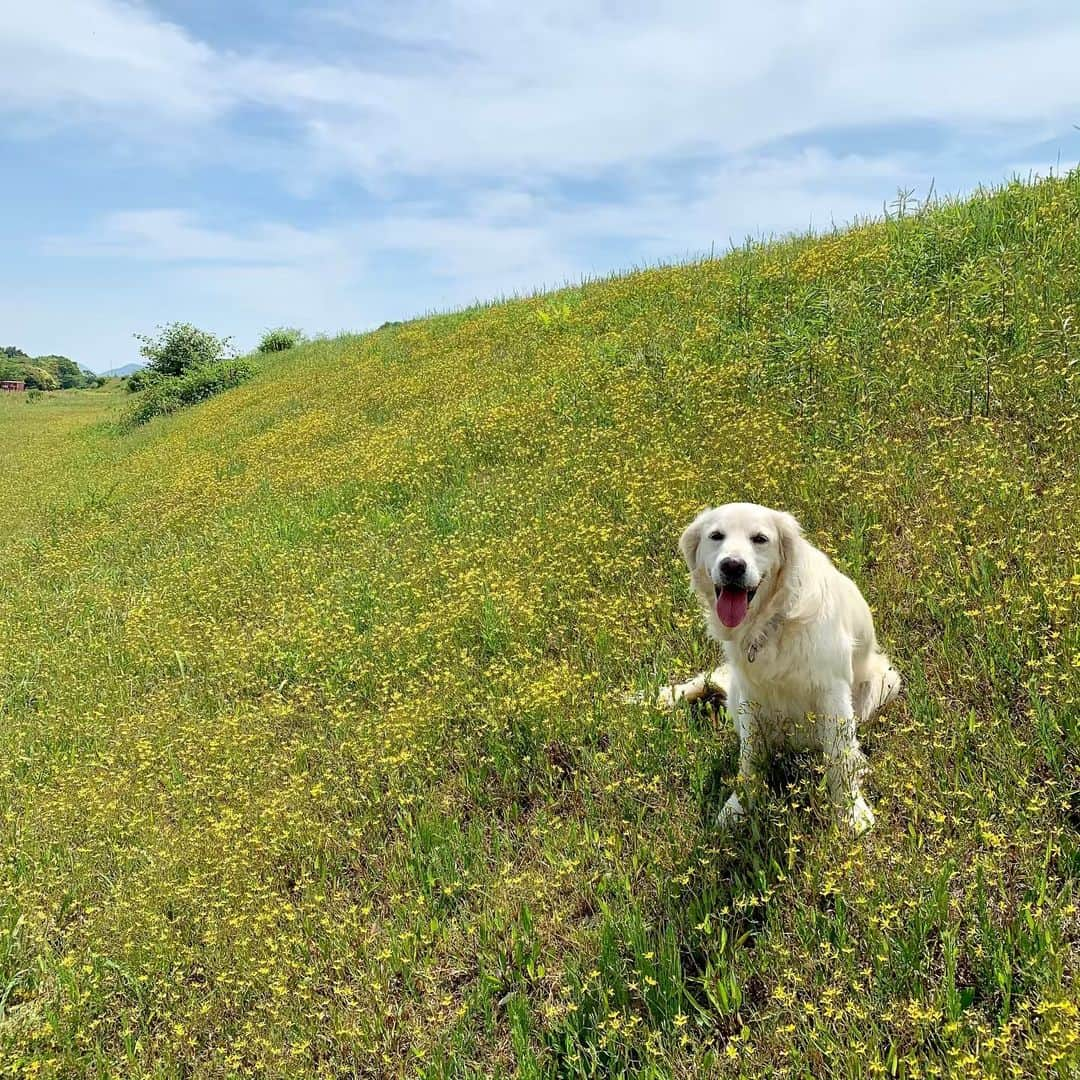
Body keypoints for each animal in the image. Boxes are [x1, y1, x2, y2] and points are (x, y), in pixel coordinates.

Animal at [660, 505, 898, 833]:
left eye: (760, 539)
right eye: (716, 536)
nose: (733, 566)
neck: (771, 623)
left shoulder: (832, 691)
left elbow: (840, 756)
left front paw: (852, 813)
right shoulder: (750, 695)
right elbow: (749, 758)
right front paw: (738, 807)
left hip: (886, 681)